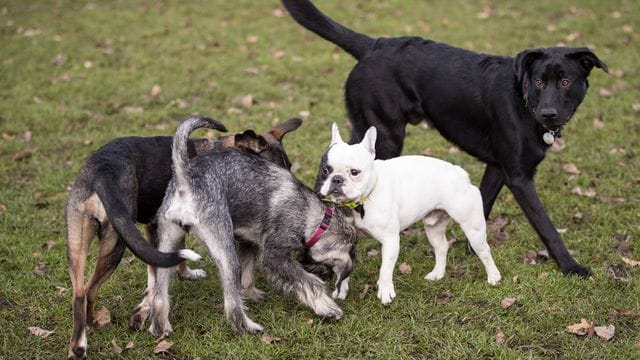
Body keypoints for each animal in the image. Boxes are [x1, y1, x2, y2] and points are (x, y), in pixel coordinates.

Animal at [65, 116, 302, 358]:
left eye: (289, 166)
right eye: (269, 172)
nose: (293, 195)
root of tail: (102, 170)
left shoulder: (157, 229)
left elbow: (162, 266)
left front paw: (181, 277)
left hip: (78, 241)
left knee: (80, 292)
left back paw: (82, 340)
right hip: (117, 242)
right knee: (90, 289)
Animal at [132, 116, 358, 336]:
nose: (328, 275)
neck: (315, 218)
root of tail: (185, 179)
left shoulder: (249, 241)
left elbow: (248, 275)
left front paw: (252, 294)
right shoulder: (275, 255)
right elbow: (307, 282)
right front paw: (327, 308)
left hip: (167, 242)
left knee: (159, 293)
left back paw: (161, 328)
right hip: (226, 253)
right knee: (231, 303)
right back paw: (248, 327)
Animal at [282, 0, 608, 276]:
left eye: (565, 81)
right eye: (540, 81)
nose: (548, 114)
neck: (524, 100)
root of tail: (374, 45)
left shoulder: (497, 167)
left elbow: (483, 204)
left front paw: (472, 248)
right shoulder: (519, 177)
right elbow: (546, 226)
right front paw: (570, 266)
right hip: (385, 134)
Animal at [318, 124, 502, 304]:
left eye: (355, 172)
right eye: (325, 170)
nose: (337, 179)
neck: (359, 203)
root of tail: (459, 173)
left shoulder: (390, 240)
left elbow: (385, 269)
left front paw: (385, 292)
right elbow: (344, 269)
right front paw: (341, 290)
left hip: (472, 228)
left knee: (484, 251)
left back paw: (494, 276)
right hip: (434, 227)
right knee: (442, 246)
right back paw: (437, 274)